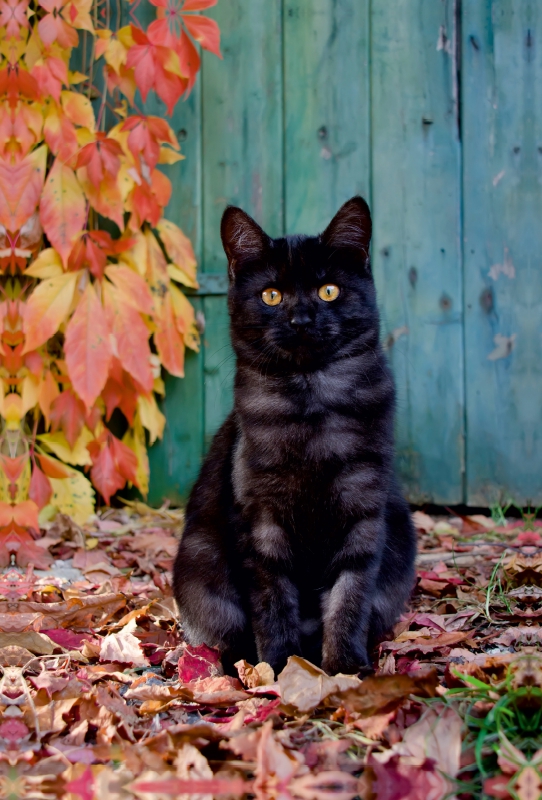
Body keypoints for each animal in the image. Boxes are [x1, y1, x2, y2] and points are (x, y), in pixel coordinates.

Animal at [174, 197, 416, 672]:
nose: (301, 319)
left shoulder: (363, 513)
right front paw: (281, 667)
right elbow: (272, 601)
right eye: (271, 295)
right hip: (200, 573)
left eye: (329, 291)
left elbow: (349, 597)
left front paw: (343, 668)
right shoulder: (260, 522)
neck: (311, 406)